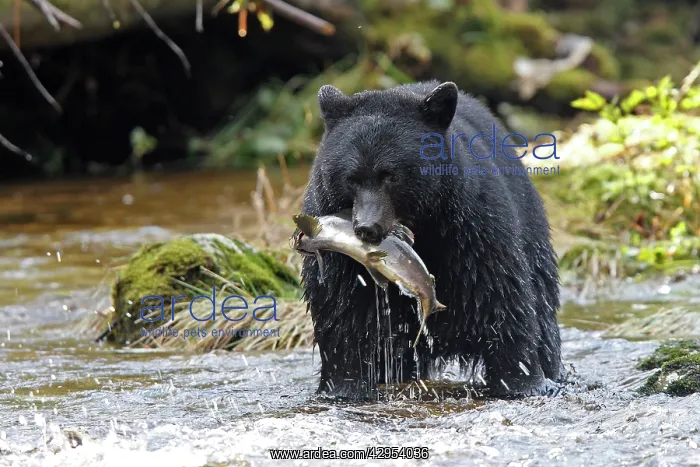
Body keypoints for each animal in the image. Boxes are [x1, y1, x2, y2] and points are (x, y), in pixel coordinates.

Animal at [299, 80, 563, 400]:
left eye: (391, 176)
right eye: (351, 178)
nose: (366, 228)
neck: (423, 228)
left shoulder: (471, 228)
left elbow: (501, 297)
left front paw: (520, 381)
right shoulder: (337, 251)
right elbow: (340, 313)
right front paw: (344, 386)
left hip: (530, 226)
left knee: (542, 309)